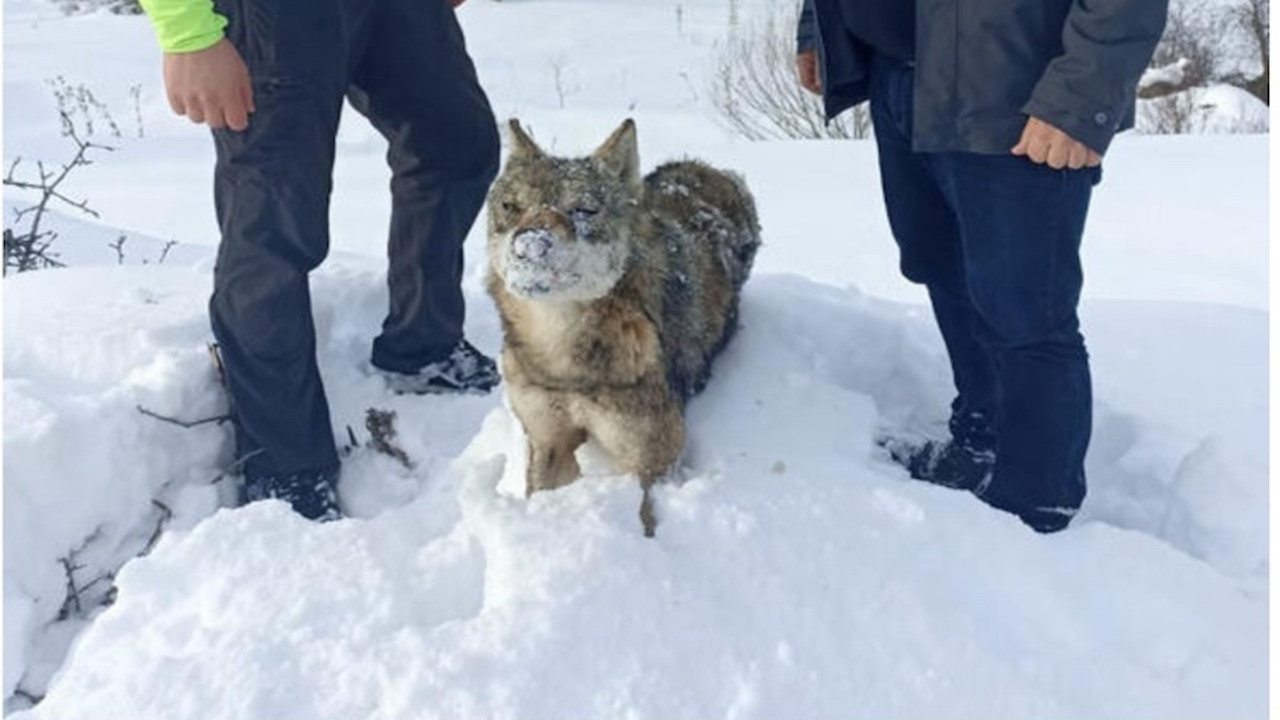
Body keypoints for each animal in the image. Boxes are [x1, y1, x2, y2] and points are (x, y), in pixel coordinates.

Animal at [481, 117, 757, 532]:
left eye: (583, 209)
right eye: (512, 207)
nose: (528, 246)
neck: (563, 359)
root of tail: (703, 167)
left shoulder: (651, 455)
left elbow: (644, 519)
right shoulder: (547, 438)